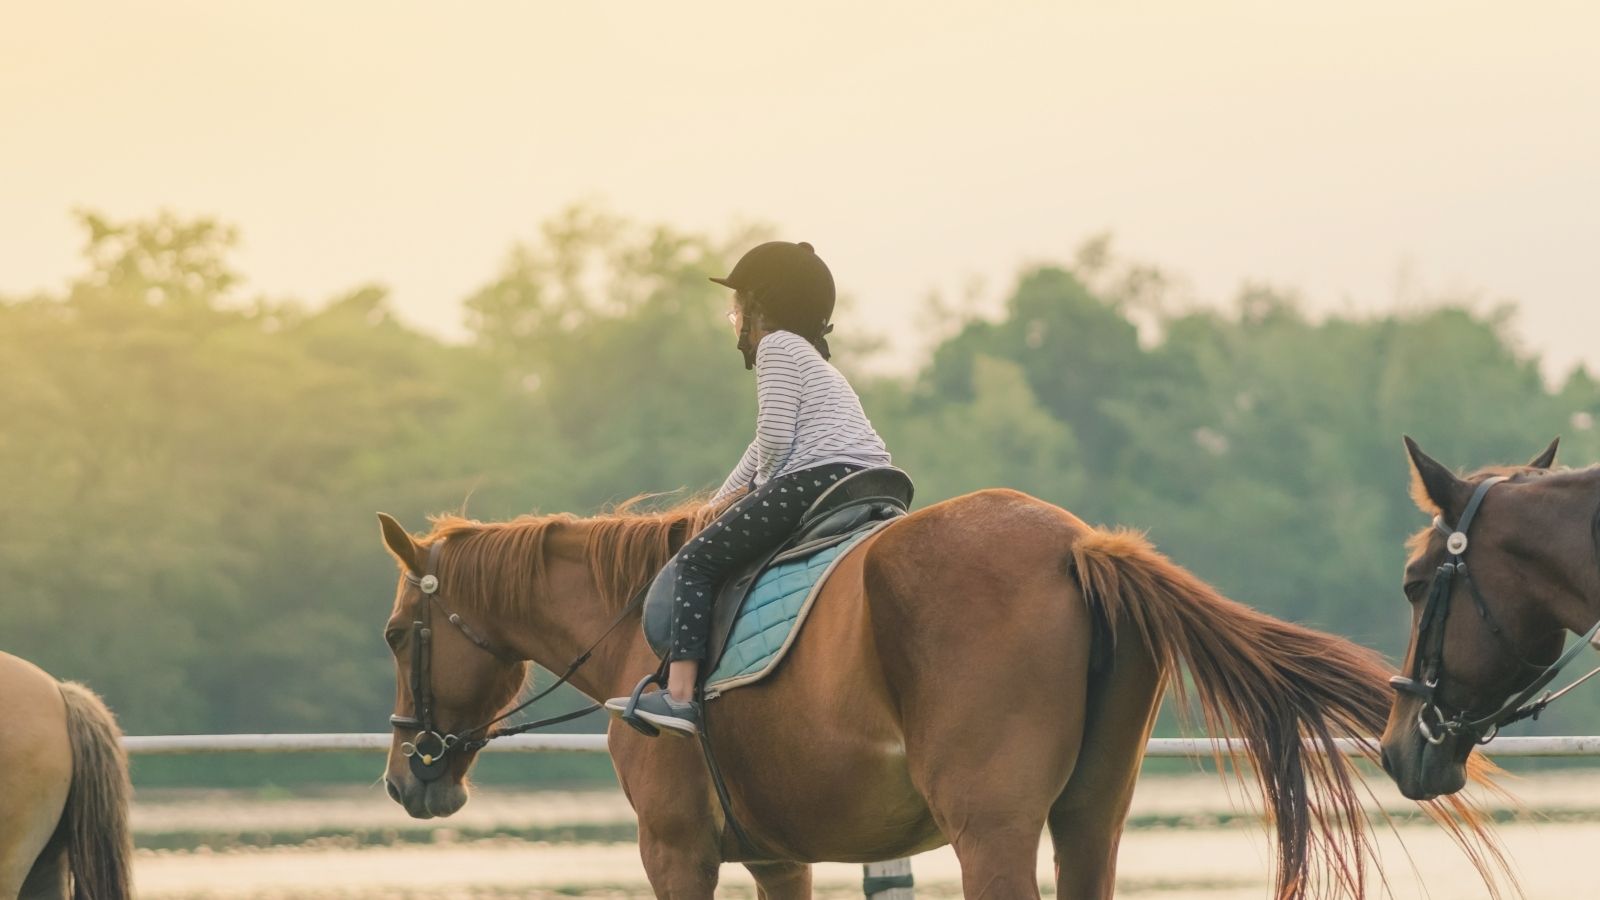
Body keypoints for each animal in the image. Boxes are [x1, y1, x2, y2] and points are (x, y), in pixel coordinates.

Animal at [380, 486, 1504, 896]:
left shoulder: (678, 850)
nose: (405, 780)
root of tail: (1076, 544)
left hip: (991, 829)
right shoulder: (778, 858)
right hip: (1087, 820)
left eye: (396, 634)